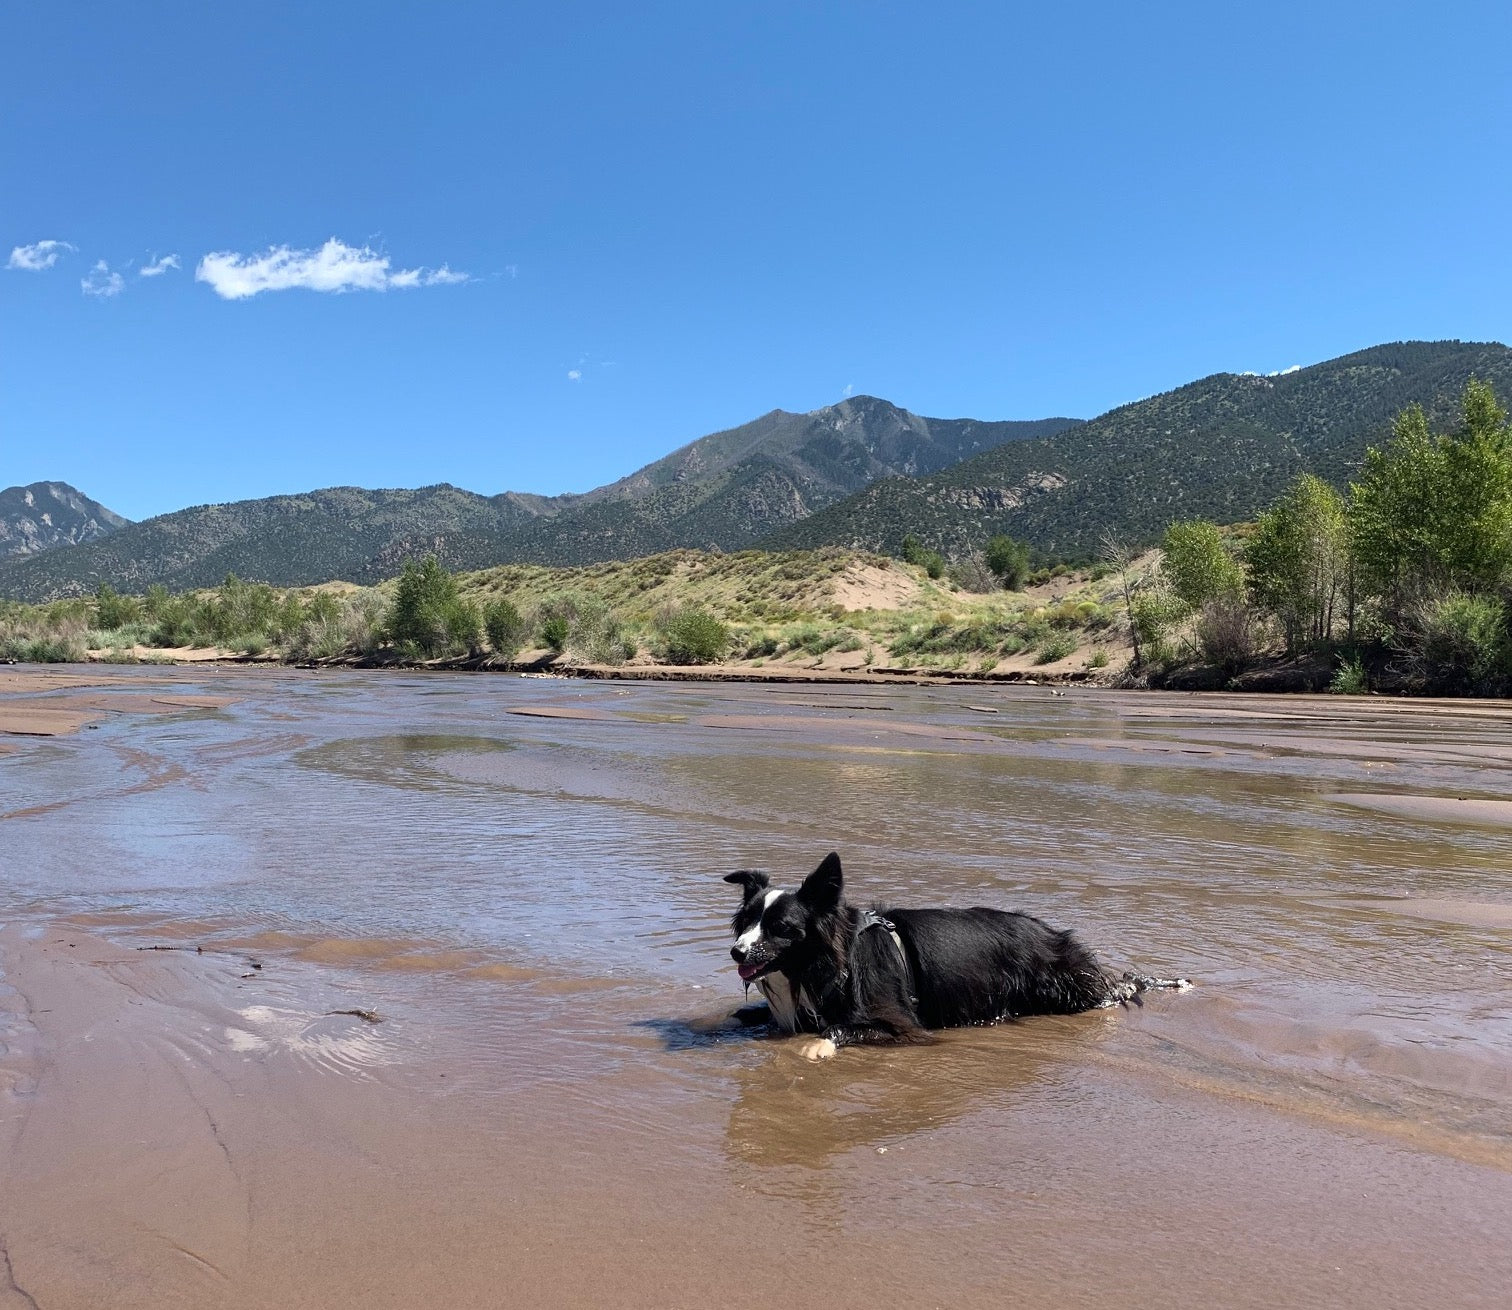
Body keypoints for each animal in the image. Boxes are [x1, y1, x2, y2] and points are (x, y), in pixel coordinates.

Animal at [725, 853, 1185, 1058]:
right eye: (746, 920)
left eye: (782, 927)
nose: (735, 952)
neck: (828, 960)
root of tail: (1053, 935)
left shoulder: (904, 1027)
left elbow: (840, 1028)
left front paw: (818, 1045)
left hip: (1065, 988)